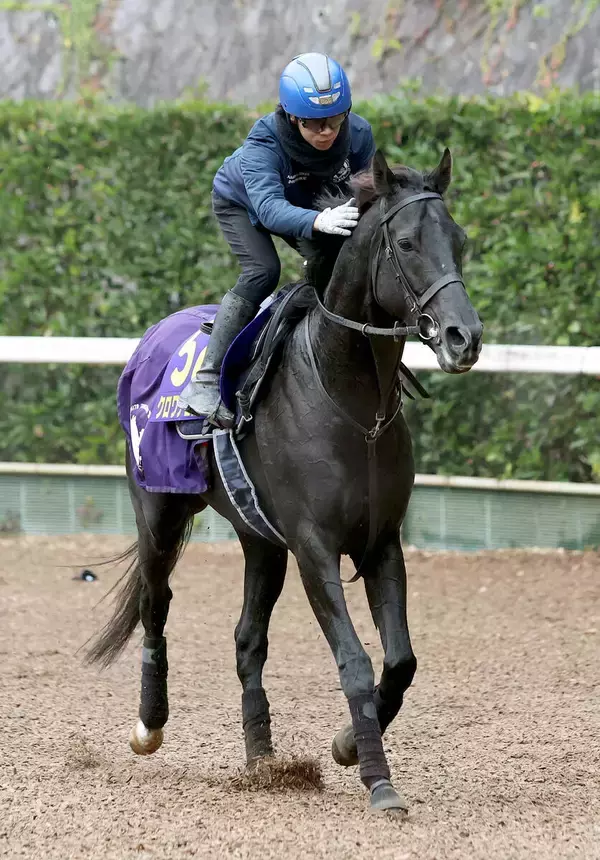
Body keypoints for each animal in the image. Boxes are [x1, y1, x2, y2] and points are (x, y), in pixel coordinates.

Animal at [87, 149, 483, 812]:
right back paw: (150, 724)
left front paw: (347, 744)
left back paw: (262, 758)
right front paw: (377, 779)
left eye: (459, 240)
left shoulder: (380, 541)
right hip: (158, 512)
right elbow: (354, 659)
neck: (348, 399)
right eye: (405, 243)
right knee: (154, 604)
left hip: (260, 540)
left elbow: (400, 660)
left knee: (247, 638)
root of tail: (150, 341)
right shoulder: (314, 547)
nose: (464, 338)